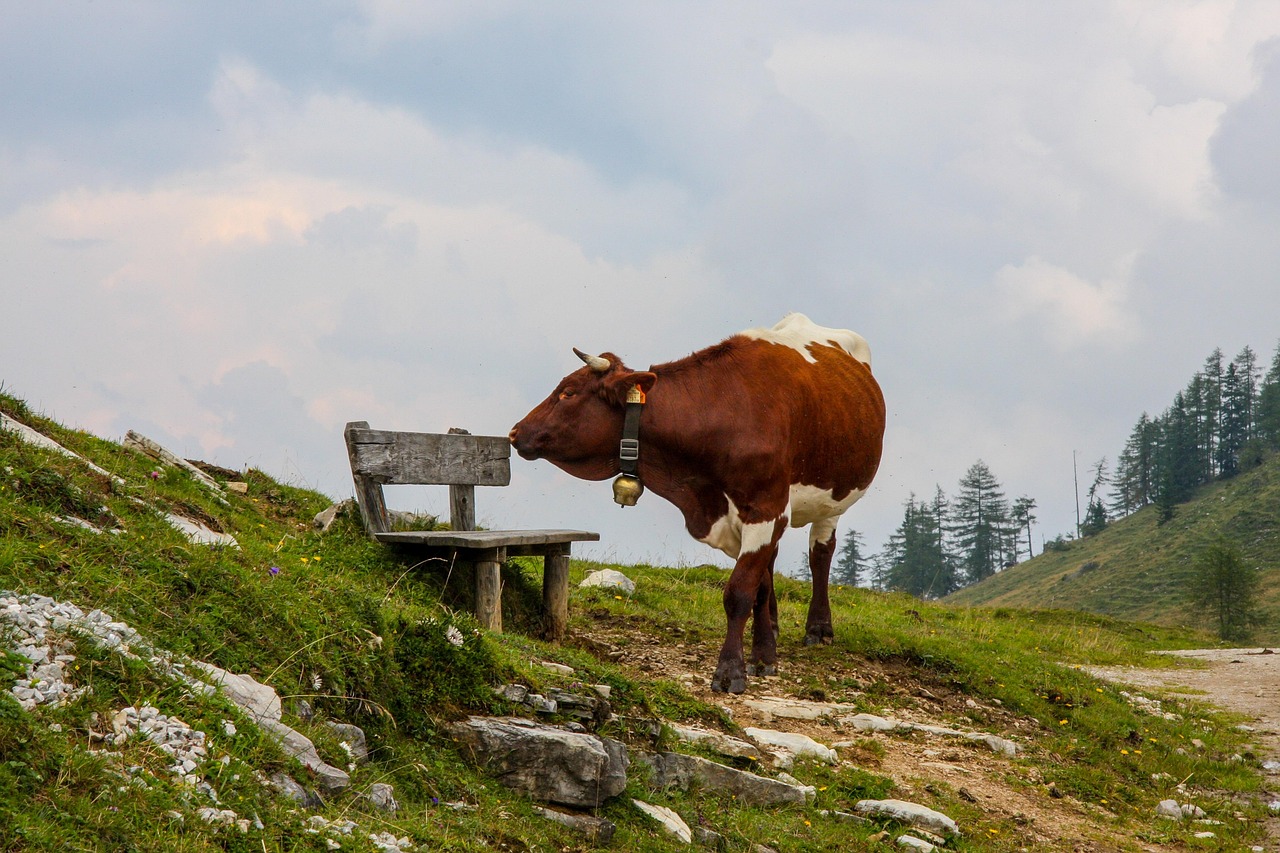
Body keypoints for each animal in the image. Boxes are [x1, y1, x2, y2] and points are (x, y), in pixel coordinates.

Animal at [509, 313, 885, 693]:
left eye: (568, 393)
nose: (514, 432)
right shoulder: (751, 516)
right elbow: (759, 587)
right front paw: (764, 654)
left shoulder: (766, 509)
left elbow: (740, 592)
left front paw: (730, 671)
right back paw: (776, 626)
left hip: (835, 496)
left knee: (821, 552)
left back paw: (819, 628)